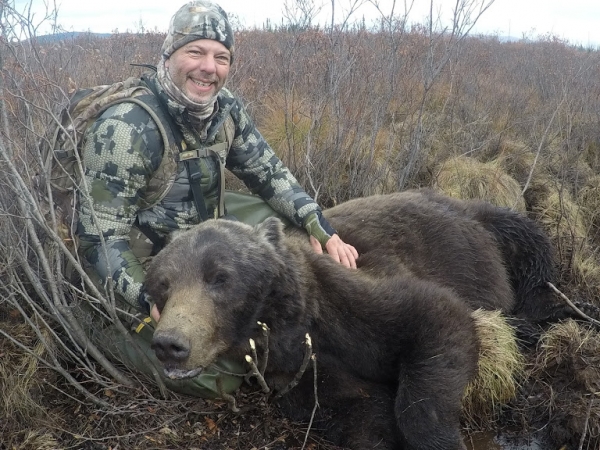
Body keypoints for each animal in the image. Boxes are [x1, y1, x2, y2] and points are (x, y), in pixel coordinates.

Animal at [148, 189, 560, 450]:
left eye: (219, 277)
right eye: (163, 284)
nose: (170, 344)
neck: (291, 324)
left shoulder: (349, 296)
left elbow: (436, 317)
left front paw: (439, 439)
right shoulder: (295, 369)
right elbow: (352, 410)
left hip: (484, 237)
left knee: (533, 254)